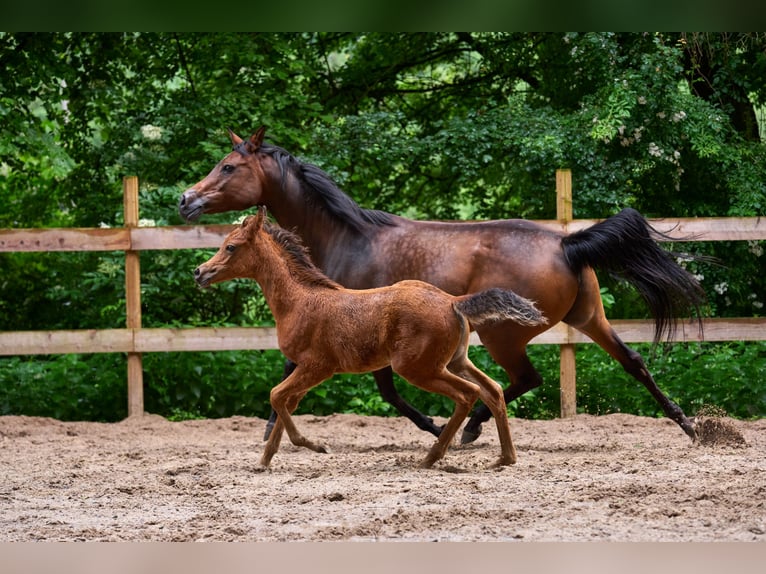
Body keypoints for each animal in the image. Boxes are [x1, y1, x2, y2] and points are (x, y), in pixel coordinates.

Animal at [195, 207, 548, 468]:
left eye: (231, 246)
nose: (200, 272)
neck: (299, 300)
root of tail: (452, 301)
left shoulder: (318, 366)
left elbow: (276, 396)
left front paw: (315, 446)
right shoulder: (305, 369)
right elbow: (285, 402)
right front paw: (265, 461)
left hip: (419, 368)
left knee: (468, 394)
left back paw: (431, 457)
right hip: (456, 361)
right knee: (493, 391)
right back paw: (505, 457)